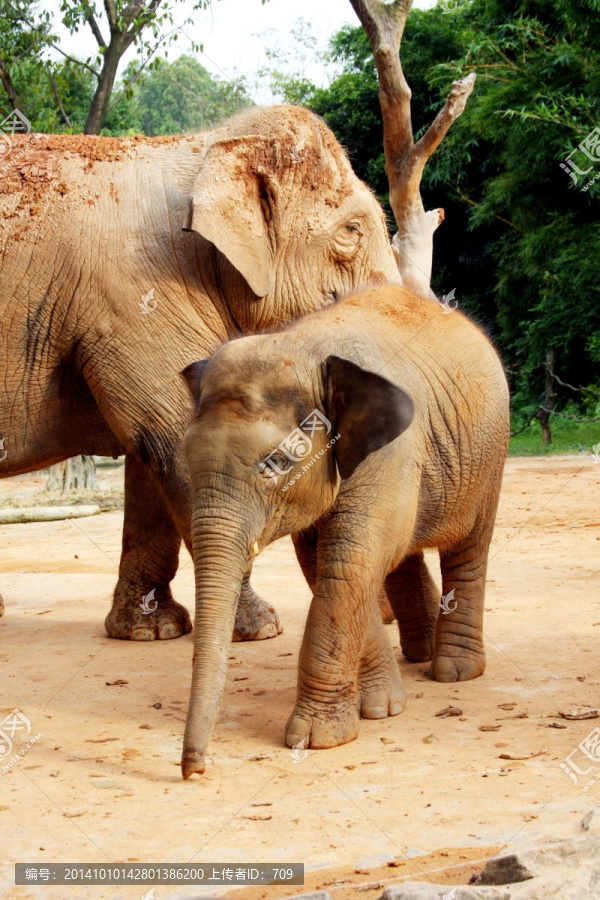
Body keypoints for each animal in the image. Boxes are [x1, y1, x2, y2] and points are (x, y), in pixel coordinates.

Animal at [1, 105, 404, 640]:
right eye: (351, 231)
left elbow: (150, 451)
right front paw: (260, 629)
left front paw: (150, 631)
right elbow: (174, 437)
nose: (386, 617)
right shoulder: (133, 298)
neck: (205, 146)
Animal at [180, 284, 508, 776]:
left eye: (276, 462)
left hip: (489, 454)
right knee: (399, 557)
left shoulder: (391, 452)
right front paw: (380, 708)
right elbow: (330, 567)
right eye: (185, 458)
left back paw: (454, 671)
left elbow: (347, 563)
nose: (194, 768)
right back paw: (419, 654)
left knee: (468, 549)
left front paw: (317, 739)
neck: (301, 343)